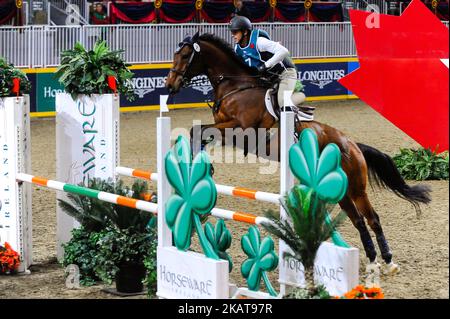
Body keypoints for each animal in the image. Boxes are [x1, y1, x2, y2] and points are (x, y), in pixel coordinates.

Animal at [165, 31, 432, 272]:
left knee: (371, 218)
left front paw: (202, 167)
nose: (170, 85)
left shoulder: (240, 130)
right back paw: (375, 260)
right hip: (343, 192)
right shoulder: (224, 129)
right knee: (359, 220)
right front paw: (201, 168)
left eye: (185, 55)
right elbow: (197, 131)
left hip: (356, 188)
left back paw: (387, 261)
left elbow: (199, 130)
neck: (236, 87)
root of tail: (353, 145)